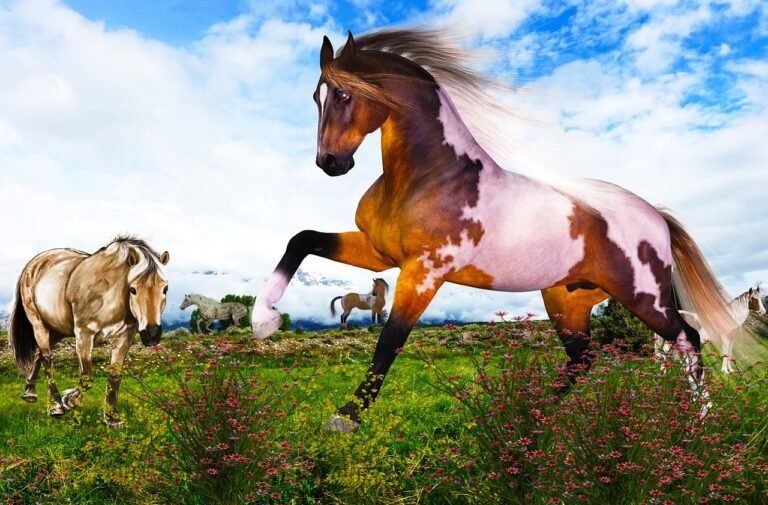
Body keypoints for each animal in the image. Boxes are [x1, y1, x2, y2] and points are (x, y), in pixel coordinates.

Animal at [8, 236, 170, 427]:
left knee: (39, 354)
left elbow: (115, 376)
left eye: (165, 289)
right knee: (47, 358)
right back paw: (56, 406)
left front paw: (112, 418)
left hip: (57, 330)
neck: (110, 292)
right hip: (38, 324)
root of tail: (33, 264)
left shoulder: (125, 337)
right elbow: (86, 378)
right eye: (133, 289)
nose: (152, 335)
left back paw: (31, 393)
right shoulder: (85, 334)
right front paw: (68, 401)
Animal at [250, 29, 734, 432]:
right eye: (316, 96)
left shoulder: (423, 273)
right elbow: (301, 240)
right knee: (583, 359)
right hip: (568, 301)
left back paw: (702, 422)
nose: (330, 163)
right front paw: (264, 322)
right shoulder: (379, 254)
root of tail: (656, 216)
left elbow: (389, 342)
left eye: (345, 93)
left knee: (688, 339)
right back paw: (528, 416)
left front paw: (346, 417)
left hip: (643, 296)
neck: (430, 177)